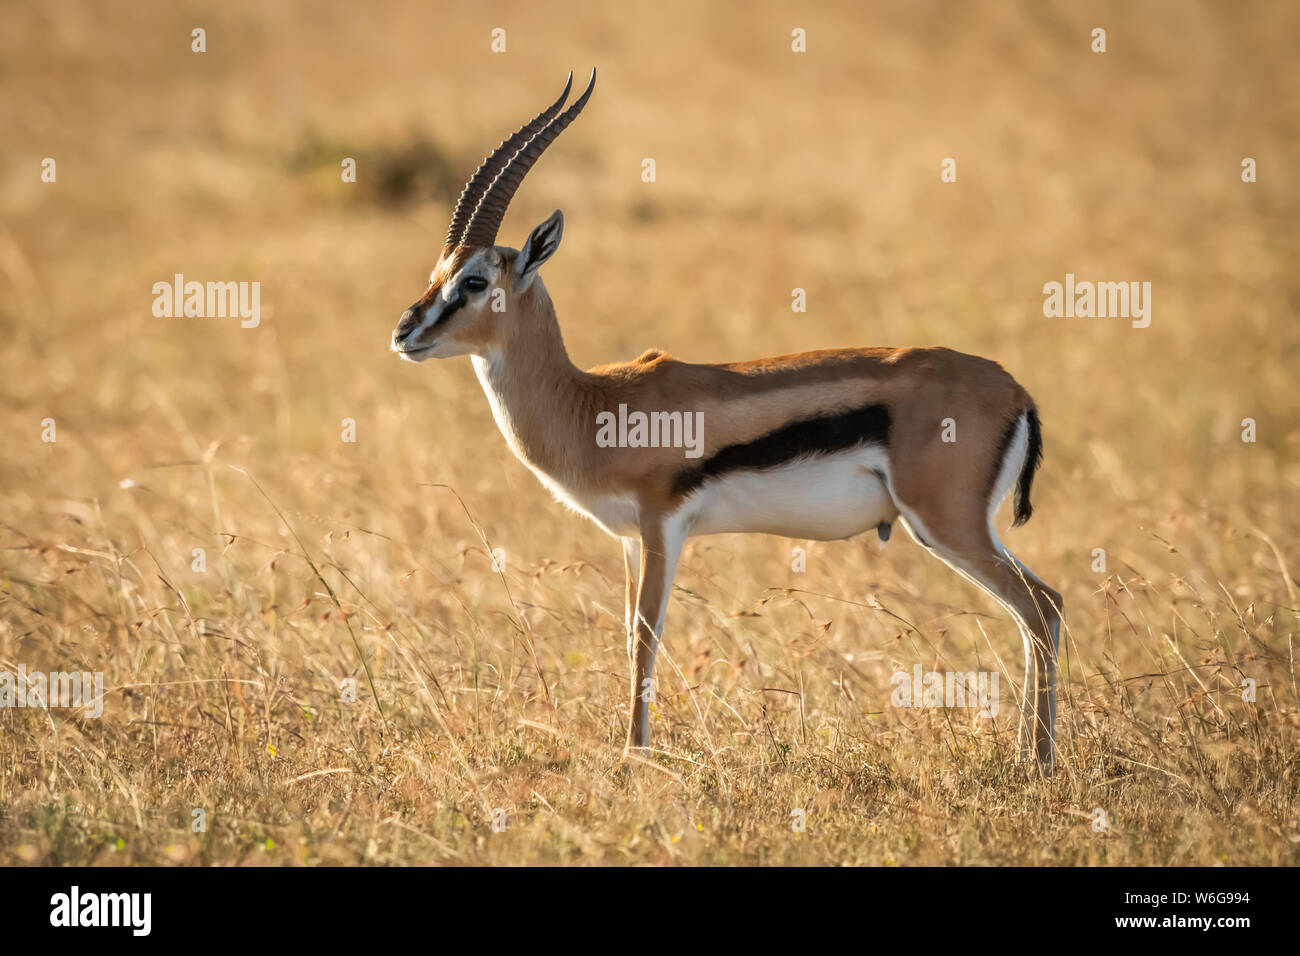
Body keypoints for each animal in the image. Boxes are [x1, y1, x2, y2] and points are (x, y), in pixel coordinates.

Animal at [391, 70, 1064, 774]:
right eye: (437, 274)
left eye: (472, 282)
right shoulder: (629, 538)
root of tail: (1018, 392)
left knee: (1040, 608)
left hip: (946, 525)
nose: (404, 332)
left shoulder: (663, 524)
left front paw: (635, 757)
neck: (591, 403)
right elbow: (626, 636)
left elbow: (645, 636)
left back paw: (1039, 766)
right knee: (1040, 609)